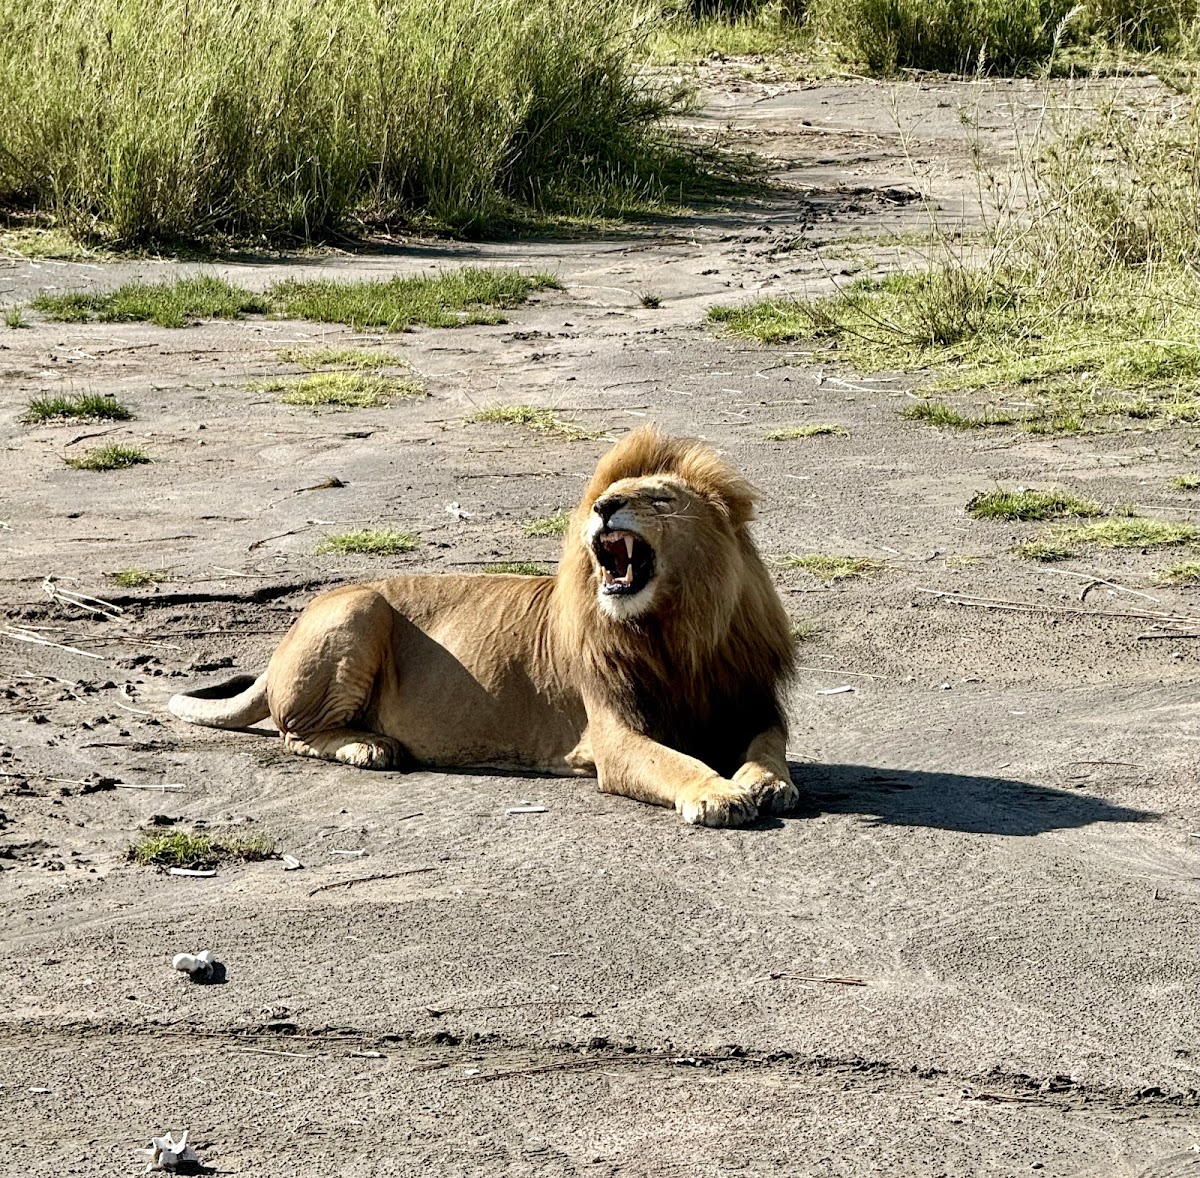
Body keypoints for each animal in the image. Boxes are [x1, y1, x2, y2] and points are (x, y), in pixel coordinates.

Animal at [168, 426, 797, 826]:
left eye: (660, 499)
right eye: (606, 495)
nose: (603, 509)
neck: (677, 630)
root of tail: (281, 646)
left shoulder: (750, 702)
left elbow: (770, 744)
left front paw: (767, 782)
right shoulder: (613, 734)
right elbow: (673, 761)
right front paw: (719, 794)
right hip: (358, 608)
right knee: (294, 733)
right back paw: (369, 747)